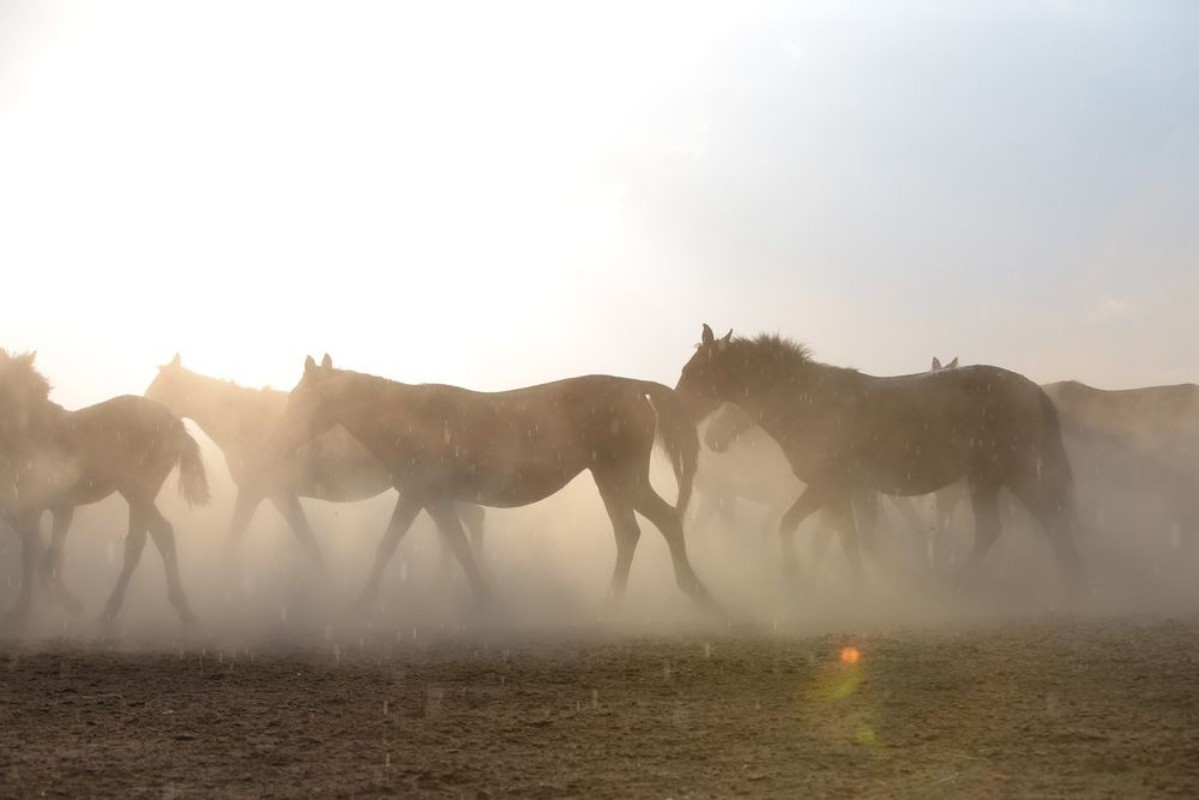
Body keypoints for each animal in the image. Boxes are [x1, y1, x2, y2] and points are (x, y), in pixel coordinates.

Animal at [0, 350, 209, 626]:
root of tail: (176, 425)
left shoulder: (51, 506)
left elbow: (40, 554)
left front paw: (41, 606)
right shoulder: (40, 508)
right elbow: (42, 552)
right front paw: (52, 602)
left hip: (137, 493)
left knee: (137, 544)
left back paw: (108, 612)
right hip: (139, 496)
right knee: (163, 535)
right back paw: (184, 611)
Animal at [145, 355, 486, 572]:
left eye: (159, 388)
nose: (141, 408)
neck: (247, 423)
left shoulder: (267, 494)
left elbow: (256, 542)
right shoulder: (269, 495)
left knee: (471, 521)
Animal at [271, 355, 713, 611]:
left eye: (300, 398)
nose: (278, 437)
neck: (408, 418)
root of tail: (634, 386)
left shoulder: (418, 494)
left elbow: (393, 544)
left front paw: (360, 603)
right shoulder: (433, 499)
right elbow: (457, 545)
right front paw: (484, 596)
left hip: (624, 477)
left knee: (663, 521)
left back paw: (692, 592)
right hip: (609, 479)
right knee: (631, 532)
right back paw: (618, 602)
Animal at [674, 325, 1084, 586]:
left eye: (692, 372)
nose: (711, 440)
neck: (810, 400)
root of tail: (1032, 389)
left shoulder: (834, 487)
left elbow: (833, 537)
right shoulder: (835, 490)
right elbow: (829, 535)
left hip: (1006, 475)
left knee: (1040, 523)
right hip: (990, 478)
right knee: (1002, 528)